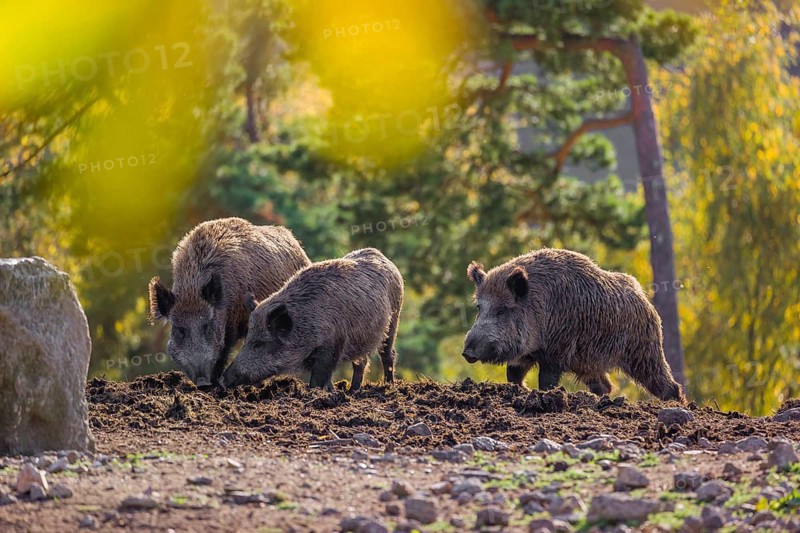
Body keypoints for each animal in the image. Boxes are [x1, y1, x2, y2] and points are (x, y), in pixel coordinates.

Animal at [148, 217, 310, 387]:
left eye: (207, 326)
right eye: (180, 330)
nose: (203, 383)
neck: (191, 291)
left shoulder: (231, 322)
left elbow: (223, 351)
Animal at [219, 247, 404, 391]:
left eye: (259, 344)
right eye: (247, 340)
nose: (222, 380)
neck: (305, 323)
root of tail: (384, 257)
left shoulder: (331, 347)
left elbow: (318, 379)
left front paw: (316, 394)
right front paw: (332, 392)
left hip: (393, 320)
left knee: (388, 354)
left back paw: (389, 387)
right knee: (362, 361)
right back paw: (353, 391)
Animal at [462, 248, 685, 402]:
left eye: (502, 310)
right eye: (479, 307)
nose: (467, 352)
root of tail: (644, 299)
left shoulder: (556, 352)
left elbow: (546, 381)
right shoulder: (524, 355)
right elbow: (513, 377)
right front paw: (523, 392)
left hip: (643, 352)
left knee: (666, 384)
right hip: (588, 364)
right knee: (605, 386)